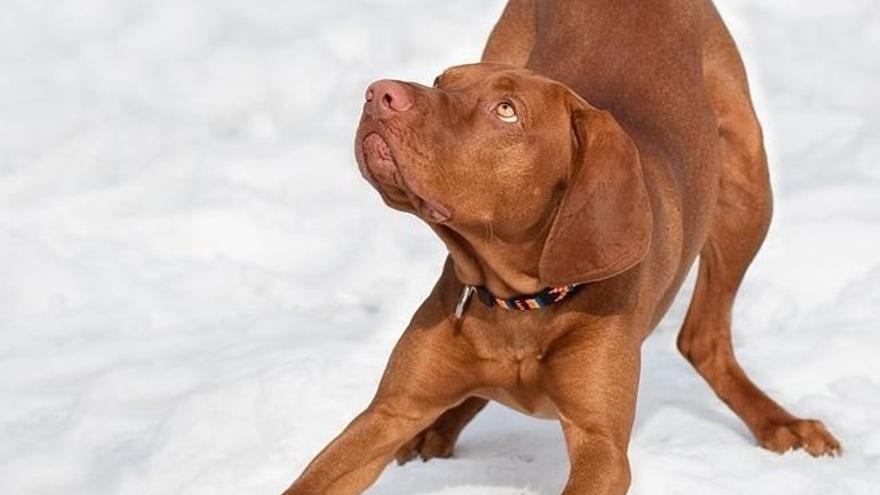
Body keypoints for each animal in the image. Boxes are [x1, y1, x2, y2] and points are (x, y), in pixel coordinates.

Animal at [282, 1, 840, 494]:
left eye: (506, 111)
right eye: (441, 81)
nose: (380, 92)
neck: (519, 302)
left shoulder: (602, 447)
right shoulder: (387, 413)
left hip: (748, 187)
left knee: (704, 339)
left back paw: (782, 425)